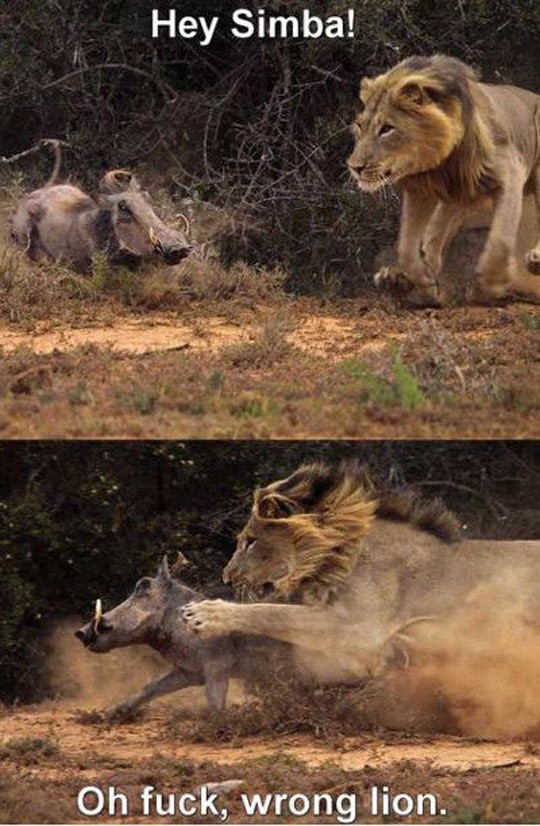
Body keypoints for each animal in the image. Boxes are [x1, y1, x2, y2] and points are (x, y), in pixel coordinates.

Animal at [182, 462, 540, 686]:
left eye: (250, 541)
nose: (226, 577)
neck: (337, 556)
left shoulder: (360, 625)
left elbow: (271, 613)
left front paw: (202, 614)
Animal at [346, 54, 540, 305]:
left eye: (386, 128)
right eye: (360, 125)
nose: (354, 167)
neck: (441, 163)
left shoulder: (510, 173)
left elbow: (500, 240)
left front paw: (490, 285)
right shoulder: (420, 190)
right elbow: (407, 247)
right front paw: (422, 279)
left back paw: (534, 262)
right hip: (459, 199)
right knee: (433, 240)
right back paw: (399, 281)